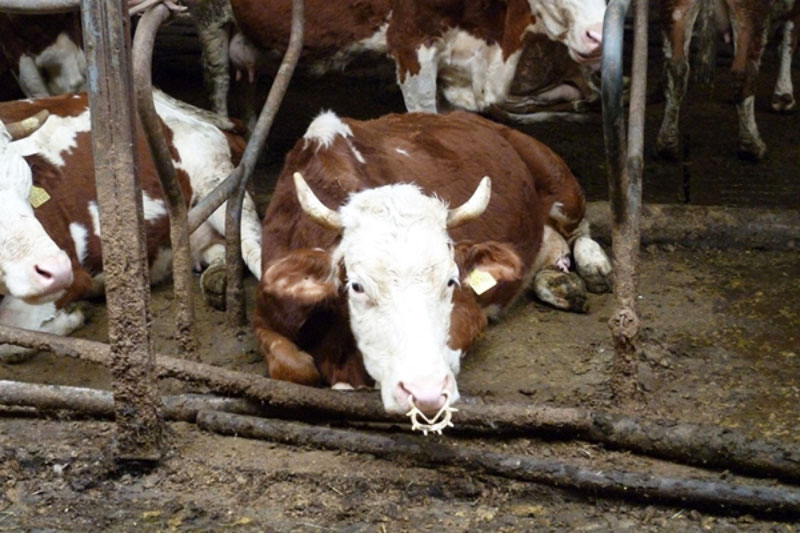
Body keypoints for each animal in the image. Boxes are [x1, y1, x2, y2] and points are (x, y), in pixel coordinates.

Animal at [0, 89, 262, 360]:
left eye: (27, 182)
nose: (57, 269)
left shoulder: (73, 274)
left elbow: (10, 337)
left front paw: (76, 313)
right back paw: (218, 279)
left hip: (219, 179)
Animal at [256, 110, 612, 420]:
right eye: (356, 286)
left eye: (450, 281)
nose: (423, 392)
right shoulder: (267, 313)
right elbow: (293, 366)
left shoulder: (469, 310)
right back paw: (559, 283)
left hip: (558, 180)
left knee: (580, 229)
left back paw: (594, 266)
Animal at [656, 0, 800, 160]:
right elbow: (789, 40)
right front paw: (784, 96)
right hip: (749, 12)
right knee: (743, 74)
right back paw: (752, 146)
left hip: (677, 9)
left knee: (675, 69)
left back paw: (668, 145)